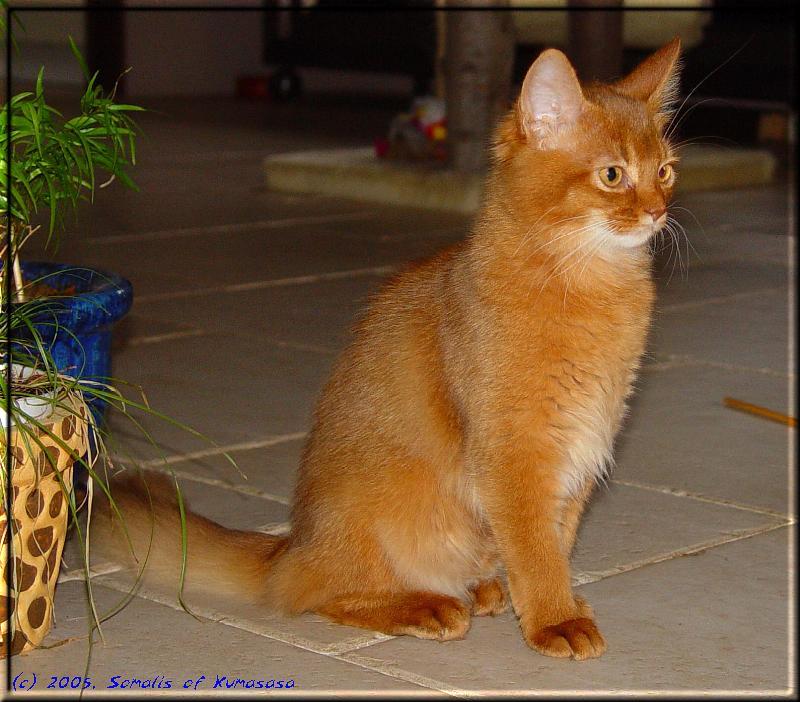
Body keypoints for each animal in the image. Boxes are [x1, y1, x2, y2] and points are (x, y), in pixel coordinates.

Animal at [94, 41, 680, 664]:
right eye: (613, 175)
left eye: (665, 171)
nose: (658, 211)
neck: (591, 283)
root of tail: (292, 544)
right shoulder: (515, 454)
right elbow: (536, 548)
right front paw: (555, 619)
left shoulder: (581, 451)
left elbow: (557, 538)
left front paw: (554, 601)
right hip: (379, 519)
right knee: (313, 594)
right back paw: (426, 607)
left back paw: (485, 587)